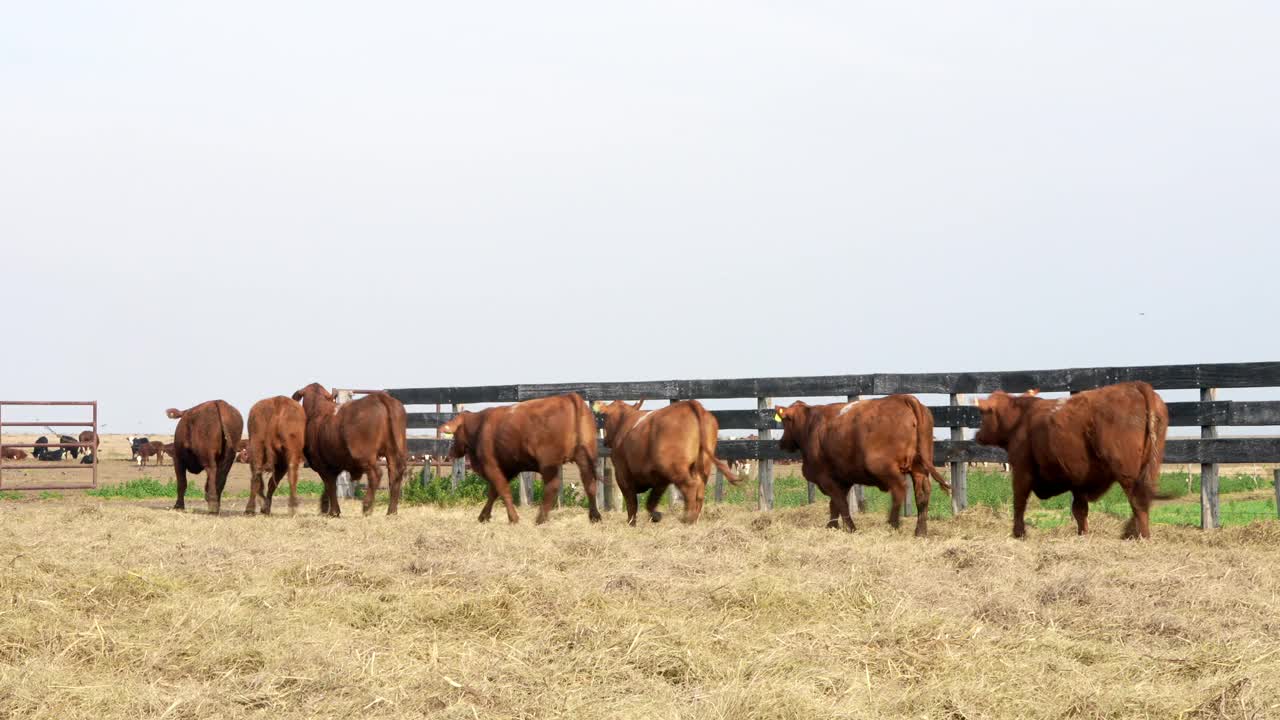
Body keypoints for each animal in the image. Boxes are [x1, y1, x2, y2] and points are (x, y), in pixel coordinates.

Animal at [293, 384, 407, 512]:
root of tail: (379, 397)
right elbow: (329, 487)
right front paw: (325, 507)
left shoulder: (322, 465)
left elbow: (330, 486)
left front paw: (334, 511)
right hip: (393, 451)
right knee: (395, 474)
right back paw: (391, 511)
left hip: (365, 456)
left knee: (376, 474)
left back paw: (367, 506)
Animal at [437, 392, 601, 520]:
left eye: (455, 434)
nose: (451, 452)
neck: (480, 426)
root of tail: (569, 397)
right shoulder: (509, 468)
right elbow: (494, 492)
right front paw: (484, 516)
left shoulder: (491, 466)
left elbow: (502, 490)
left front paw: (513, 518)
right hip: (584, 457)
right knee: (589, 483)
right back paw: (594, 516)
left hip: (549, 463)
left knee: (552, 487)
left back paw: (540, 519)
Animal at [596, 394, 742, 525]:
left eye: (605, 418)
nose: (605, 440)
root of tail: (690, 404)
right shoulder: (660, 479)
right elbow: (651, 501)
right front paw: (655, 516)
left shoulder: (622, 475)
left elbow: (632, 503)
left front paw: (631, 523)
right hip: (701, 467)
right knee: (699, 492)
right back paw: (693, 519)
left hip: (675, 469)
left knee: (690, 487)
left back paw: (687, 519)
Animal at [773, 392, 947, 532]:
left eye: (784, 422)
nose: (781, 443)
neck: (810, 425)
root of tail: (903, 398)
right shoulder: (843, 478)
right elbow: (835, 504)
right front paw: (832, 526)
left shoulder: (826, 478)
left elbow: (840, 503)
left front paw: (850, 528)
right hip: (919, 467)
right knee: (922, 494)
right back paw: (920, 531)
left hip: (883, 467)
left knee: (899, 490)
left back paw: (893, 524)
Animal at [972, 381, 1167, 538]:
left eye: (983, 415)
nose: (978, 435)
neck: (1021, 417)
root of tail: (1135, 385)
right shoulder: (1079, 481)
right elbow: (1079, 510)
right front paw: (1082, 534)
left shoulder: (1021, 470)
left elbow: (1019, 501)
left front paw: (1018, 533)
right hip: (1151, 468)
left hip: (1127, 474)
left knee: (1138, 502)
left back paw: (1141, 536)